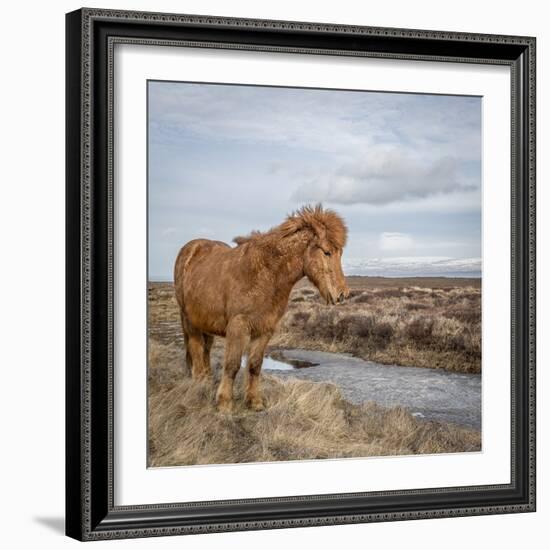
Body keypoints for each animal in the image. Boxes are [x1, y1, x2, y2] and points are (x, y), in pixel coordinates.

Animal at [175, 205, 352, 412]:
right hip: (189, 321)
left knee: (206, 350)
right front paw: (225, 404)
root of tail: (191, 248)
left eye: (340, 253)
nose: (342, 294)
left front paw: (254, 402)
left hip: (204, 322)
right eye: (326, 252)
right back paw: (199, 384)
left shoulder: (265, 330)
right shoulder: (238, 327)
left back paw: (207, 380)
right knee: (196, 349)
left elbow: (254, 365)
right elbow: (232, 365)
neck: (265, 274)